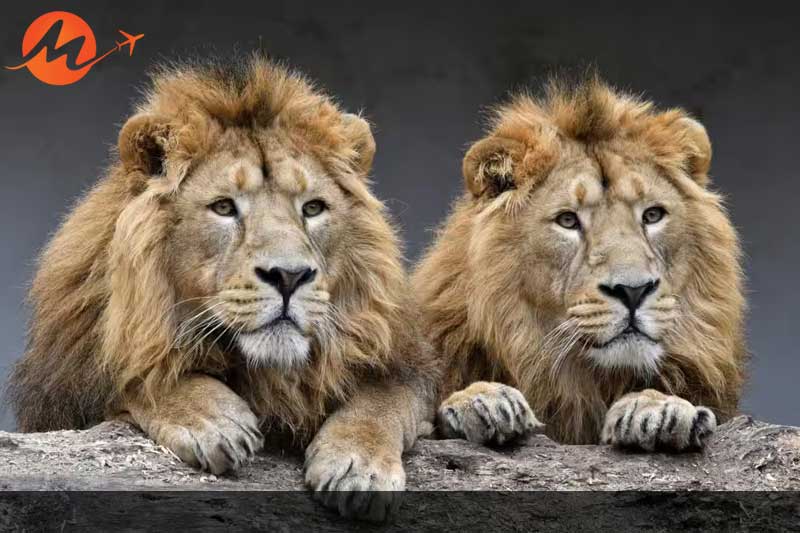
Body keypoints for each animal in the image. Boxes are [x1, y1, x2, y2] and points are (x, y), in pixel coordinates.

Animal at [7, 55, 438, 520]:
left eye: (313, 208)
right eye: (224, 207)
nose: (289, 276)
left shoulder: (405, 365)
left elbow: (387, 397)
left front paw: (360, 465)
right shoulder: (64, 392)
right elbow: (136, 375)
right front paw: (213, 419)